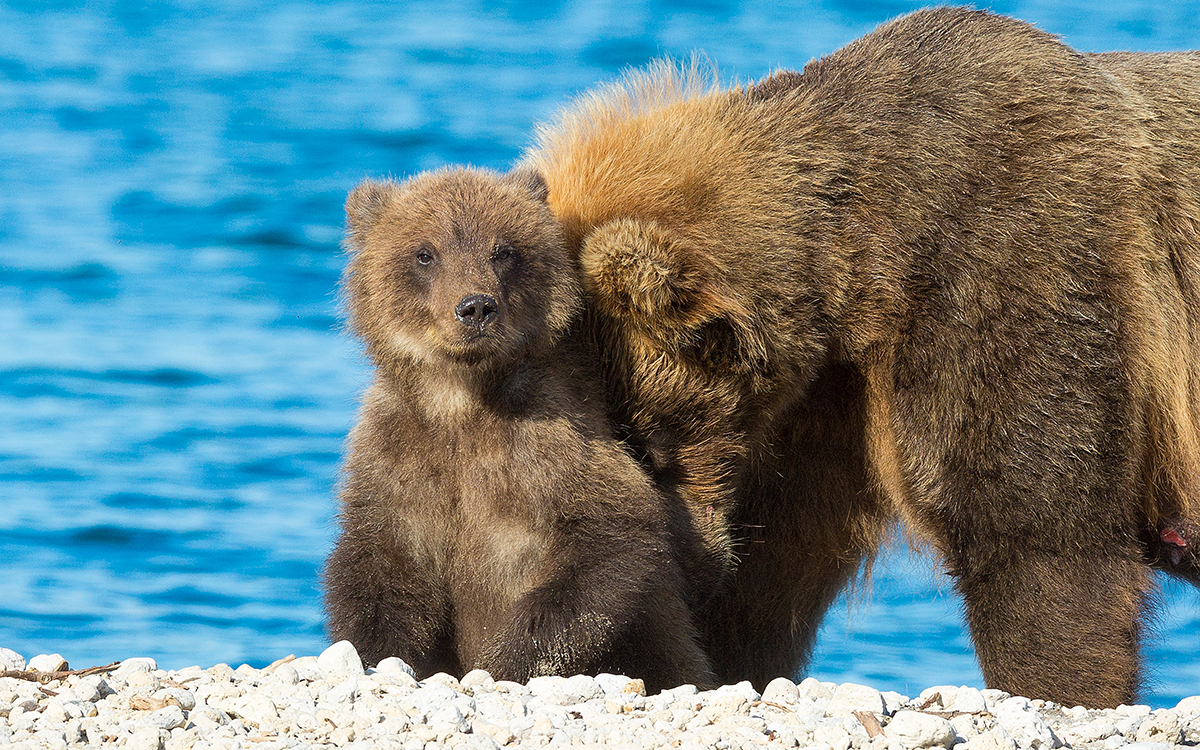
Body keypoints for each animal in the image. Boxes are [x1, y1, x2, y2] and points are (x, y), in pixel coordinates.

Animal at [321, 168, 710, 691]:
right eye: (425, 253)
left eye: (503, 250)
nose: (475, 307)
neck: (462, 401)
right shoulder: (399, 456)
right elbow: (382, 566)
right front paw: (376, 655)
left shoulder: (551, 446)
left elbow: (608, 542)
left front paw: (506, 659)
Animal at [523, 8, 1200, 705]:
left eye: (647, 440)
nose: (677, 577)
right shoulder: (827, 407)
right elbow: (776, 567)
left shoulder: (1019, 270)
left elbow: (1032, 533)